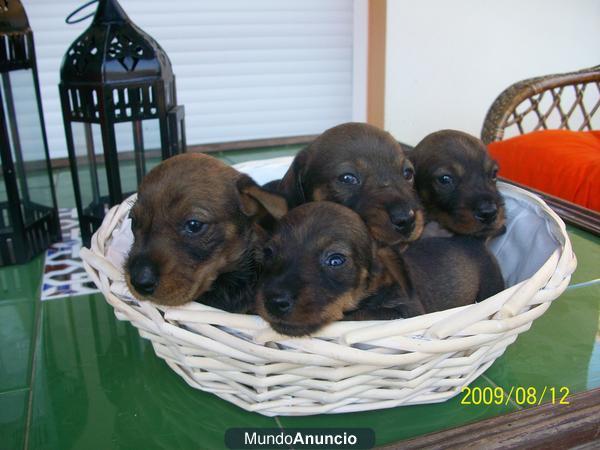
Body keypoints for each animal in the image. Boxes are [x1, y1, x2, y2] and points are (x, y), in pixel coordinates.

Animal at [255, 202, 504, 336]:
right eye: (267, 252)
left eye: (336, 260)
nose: (274, 302)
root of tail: (474, 241)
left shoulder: (407, 312)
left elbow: (358, 316)